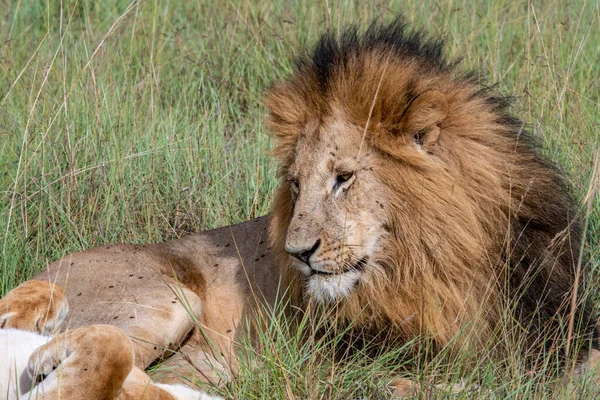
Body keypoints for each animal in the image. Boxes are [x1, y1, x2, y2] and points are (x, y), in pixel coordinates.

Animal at [7, 18, 596, 396]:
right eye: (295, 185)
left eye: (343, 178)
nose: (297, 253)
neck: (441, 262)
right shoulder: (337, 356)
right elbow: (422, 380)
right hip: (163, 299)